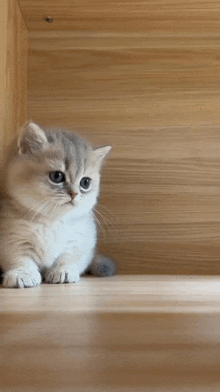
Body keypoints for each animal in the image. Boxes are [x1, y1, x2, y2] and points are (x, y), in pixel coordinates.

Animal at [0, 122, 116, 288]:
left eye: (85, 182)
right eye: (57, 176)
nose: (74, 194)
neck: (51, 220)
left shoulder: (80, 240)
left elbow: (68, 258)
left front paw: (63, 272)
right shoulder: (13, 239)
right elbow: (20, 258)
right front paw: (23, 274)